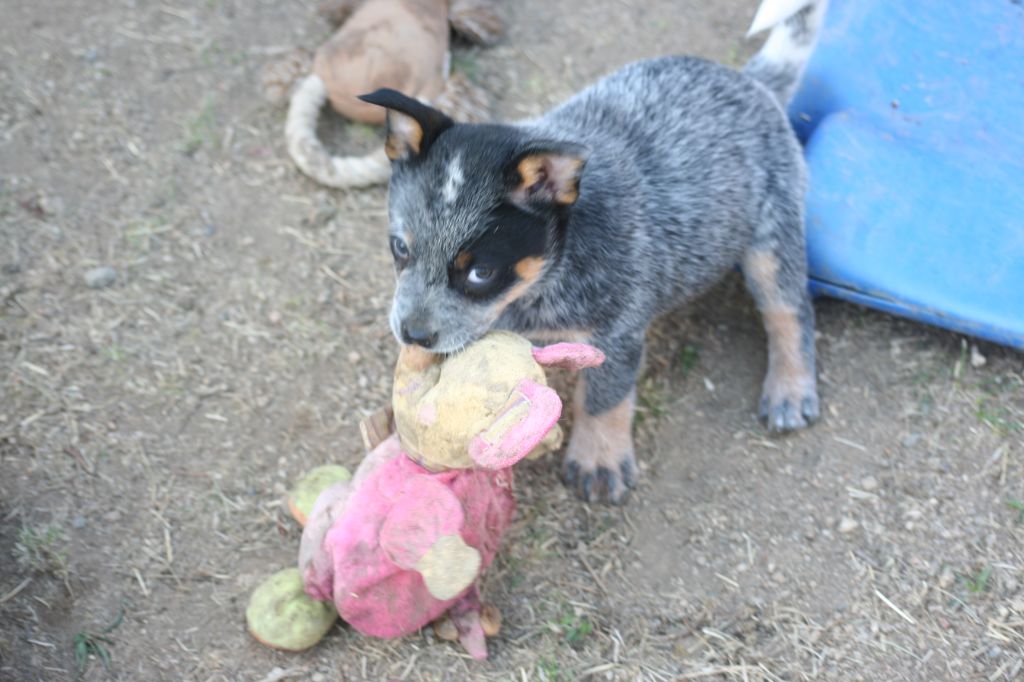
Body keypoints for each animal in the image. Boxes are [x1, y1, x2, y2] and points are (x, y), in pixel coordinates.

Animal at [356, 0, 829, 503]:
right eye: (399, 247)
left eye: (480, 272)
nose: (412, 333)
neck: (549, 274)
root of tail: (751, 80)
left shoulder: (616, 332)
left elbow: (606, 396)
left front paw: (599, 459)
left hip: (771, 235)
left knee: (789, 309)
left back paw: (790, 389)